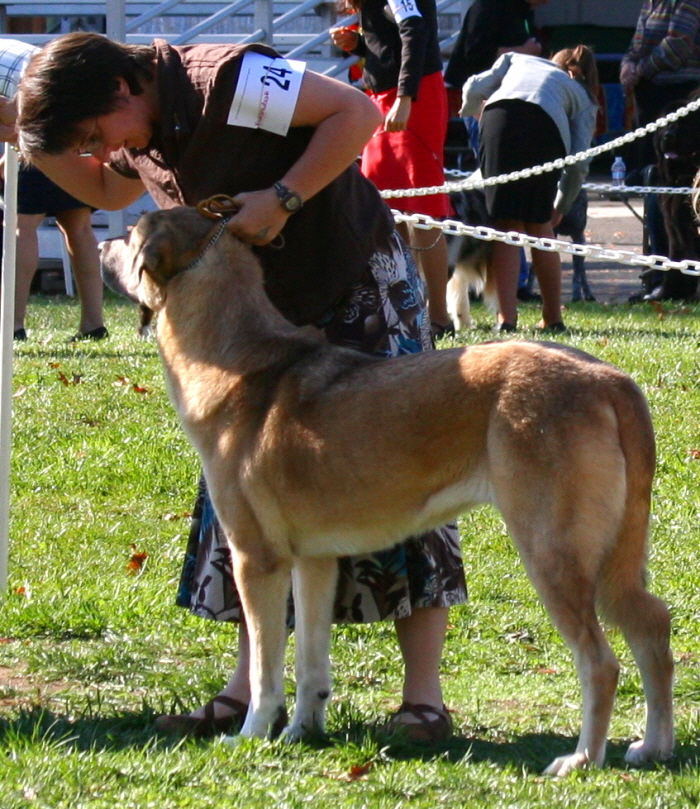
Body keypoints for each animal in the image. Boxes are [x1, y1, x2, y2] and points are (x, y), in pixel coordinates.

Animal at [101, 205, 676, 772]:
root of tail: (610, 380)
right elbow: (311, 665)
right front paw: (301, 733)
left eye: (131, 235)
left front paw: (250, 735)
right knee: (653, 628)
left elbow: (266, 670)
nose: (103, 242)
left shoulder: (256, 559)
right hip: (611, 560)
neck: (234, 361)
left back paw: (581, 759)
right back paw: (652, 747)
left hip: (553, 553)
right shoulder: (314, 563)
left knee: (601, 662)